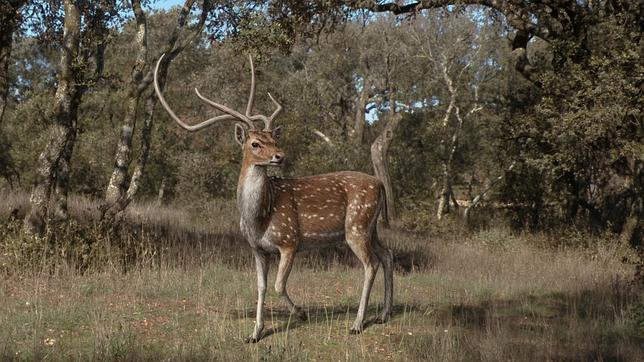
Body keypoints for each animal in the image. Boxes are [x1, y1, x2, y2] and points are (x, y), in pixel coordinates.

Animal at [154, 53, 394, 342]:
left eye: (273, 139)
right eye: (255, 143)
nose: (280, 156)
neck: (258, 218)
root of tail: (380, 184)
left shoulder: (290, 240)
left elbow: (279, 285)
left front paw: (300, 313)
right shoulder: (258, 249)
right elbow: (261, 286)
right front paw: (255, 333)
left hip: (357, 225)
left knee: (371, 265)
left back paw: (358, 323)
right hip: (370, 227)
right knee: (388, 254)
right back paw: (383, 314)